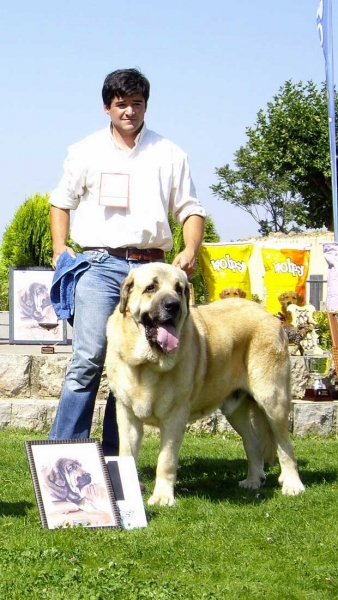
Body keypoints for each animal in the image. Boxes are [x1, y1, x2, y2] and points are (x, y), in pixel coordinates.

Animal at [105, 264, 304, 504]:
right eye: (151, 288)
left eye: (179, 289)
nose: (173, 305)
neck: (146, 364)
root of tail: (268, 315)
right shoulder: (127, 415)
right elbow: (127, 453)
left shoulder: (175, 417)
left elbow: (166, 460)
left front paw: (162, 497)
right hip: (234, 409)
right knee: (253, 443)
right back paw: (253, 481)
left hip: (273, 400)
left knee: (285, 446)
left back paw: (293, 485)